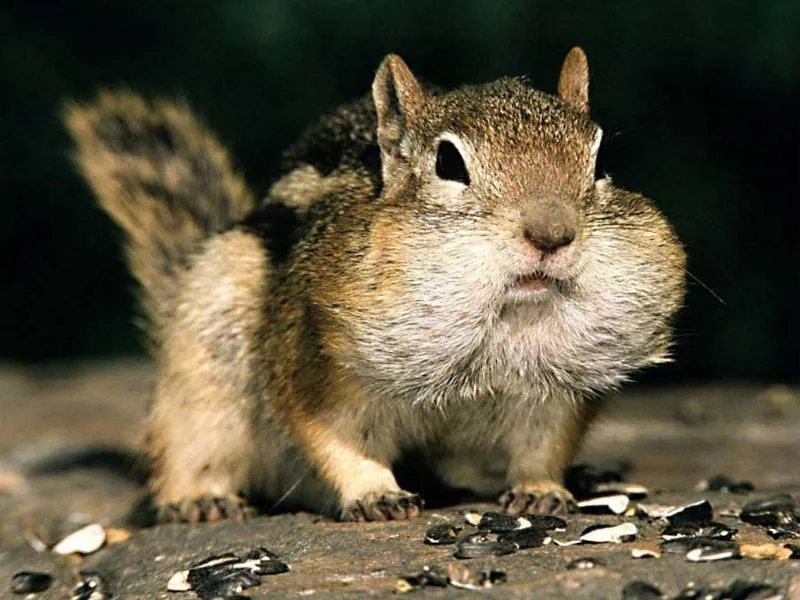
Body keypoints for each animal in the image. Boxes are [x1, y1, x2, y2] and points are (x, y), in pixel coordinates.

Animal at [63, 48, 686, 523]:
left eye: (599, 161)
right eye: (449, 163)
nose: (552, 234)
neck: (503, 318)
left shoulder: (555, 391)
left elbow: (544, 443)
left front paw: (542, 489)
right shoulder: (314, 366)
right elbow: (336, 436)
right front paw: (375, 494)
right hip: (203, 367)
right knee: (189, 447)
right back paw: (199, 499)